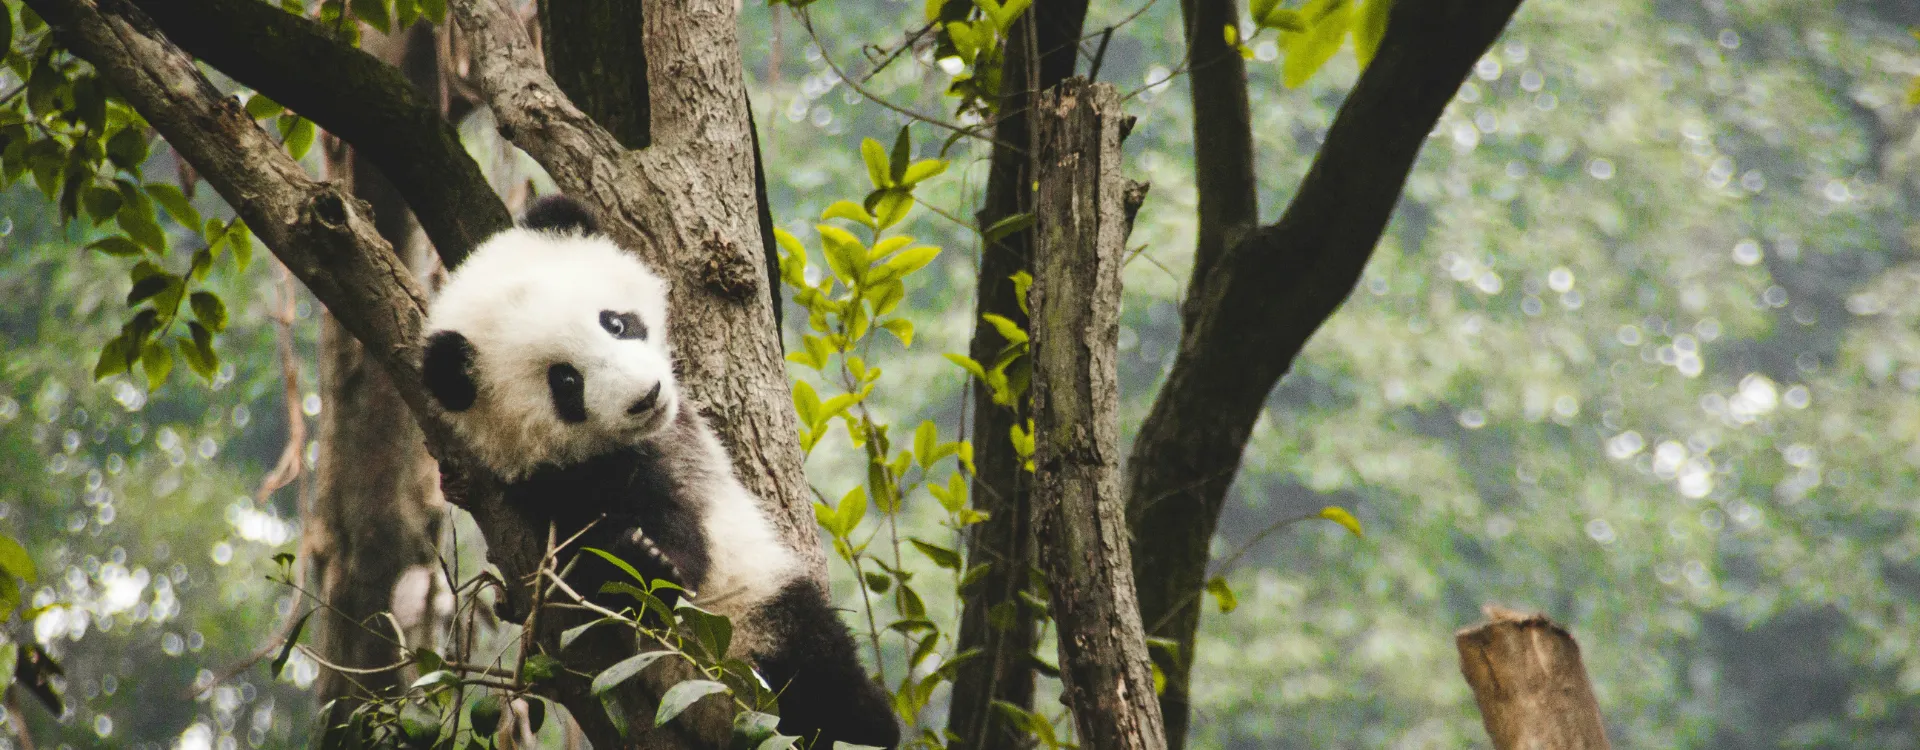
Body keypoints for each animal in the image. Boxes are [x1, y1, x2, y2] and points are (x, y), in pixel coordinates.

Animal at [420, 195, 900, 749]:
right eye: (565, 381)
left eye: (614, 322)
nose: (645, 396)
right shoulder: (542, 488)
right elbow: (599, 562)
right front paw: (641, 556)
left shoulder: (676, 446)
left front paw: (648, 554)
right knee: (819, 662)